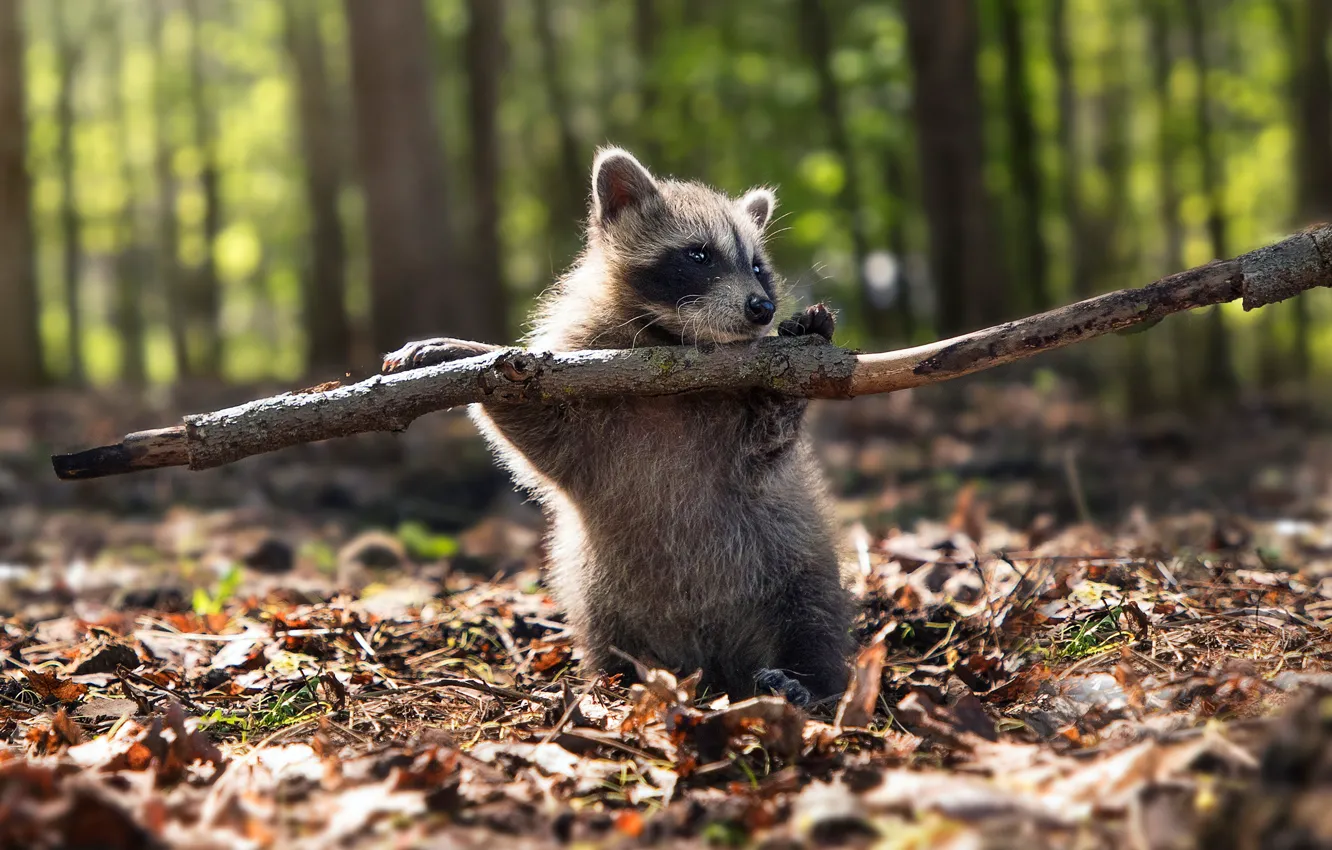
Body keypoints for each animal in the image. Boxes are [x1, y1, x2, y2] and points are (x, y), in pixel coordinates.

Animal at [383, 148, 854, 705]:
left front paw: (792, 371)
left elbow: (768, 447)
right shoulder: (583, 394)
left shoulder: (745, 447)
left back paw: (811, 679)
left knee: (813, 612)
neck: (672, 347)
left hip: (791, 555)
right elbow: (536, 424)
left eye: (758, 267)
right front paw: (469, 353)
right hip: (597, 591)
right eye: (699, 256)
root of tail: (711, 667)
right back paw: (617, 678)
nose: (762, 308)